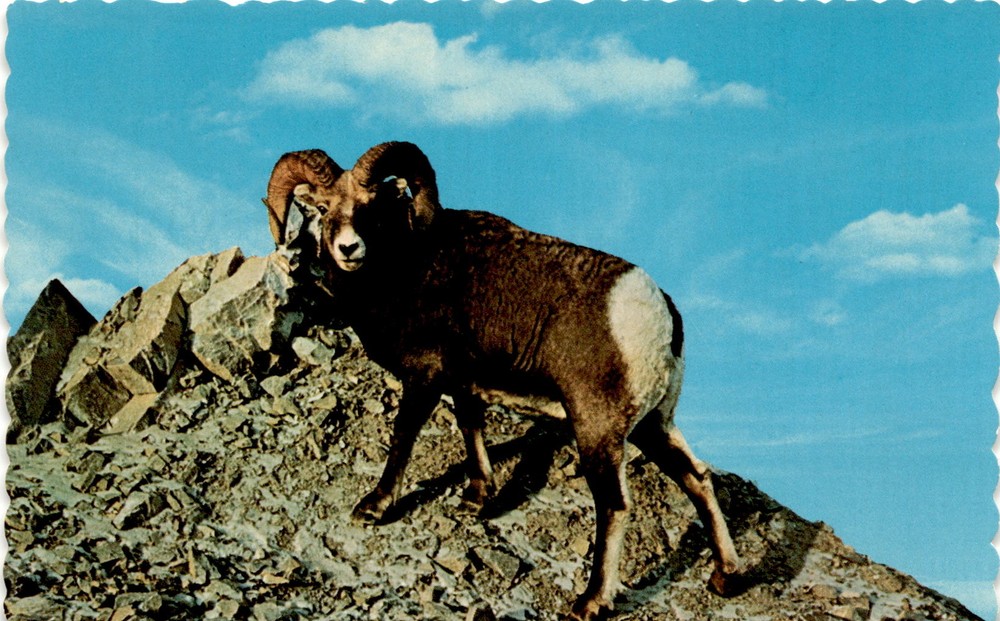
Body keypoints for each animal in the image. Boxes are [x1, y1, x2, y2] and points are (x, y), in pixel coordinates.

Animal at [264, 142, 743, 620]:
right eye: (323, 209)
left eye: (370, 207)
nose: (348, 248)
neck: (400, 272)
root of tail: (660, 314)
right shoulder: (464, 385)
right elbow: (471, 427)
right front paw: (479, 497)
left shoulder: (424, 378)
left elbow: (402, 439)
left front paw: (374, 507)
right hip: (653, 425)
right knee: (697, 479)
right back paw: (725, 577)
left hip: (598, 431)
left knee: (615, 505)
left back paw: (589, 602)